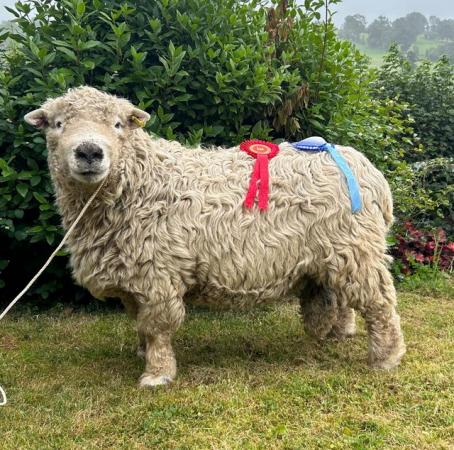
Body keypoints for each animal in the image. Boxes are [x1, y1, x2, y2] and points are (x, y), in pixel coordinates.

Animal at [24, 87, 406, 386]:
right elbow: (141, 324)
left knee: (380, 302)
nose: (89, 152)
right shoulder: (134, 277)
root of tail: (363, 167)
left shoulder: (159, 274)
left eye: (118, 125)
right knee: (341, 296)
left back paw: (386, 356)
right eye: (58, 124)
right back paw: (342, 333)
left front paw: (157, 374)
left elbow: (157, 326)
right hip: (336, 253)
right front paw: (142, 353)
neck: (142, 182)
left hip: (358, 249)